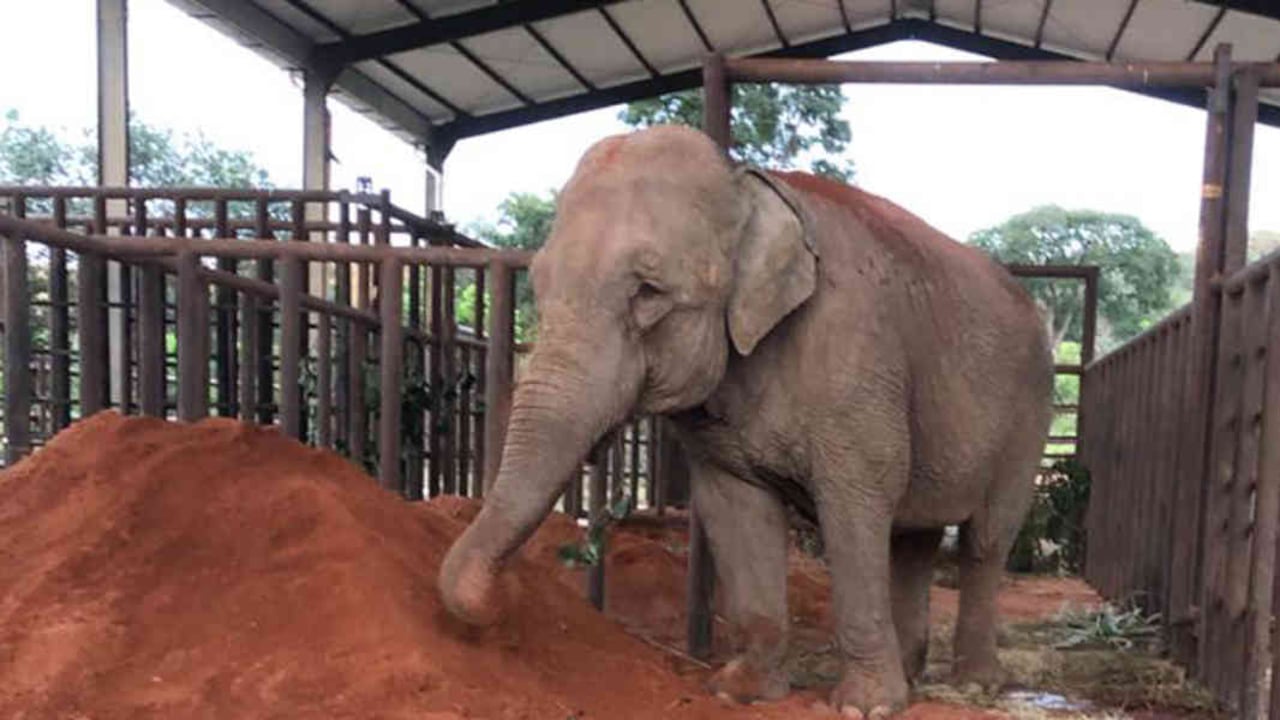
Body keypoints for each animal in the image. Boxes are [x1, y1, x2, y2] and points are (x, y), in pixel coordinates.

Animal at [438, 125, 1054, 717]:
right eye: (538, 288)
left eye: (648, 292)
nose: (508, 598)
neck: (746, 184)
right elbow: (736, 509)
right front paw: (742, 691)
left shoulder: (855, 358)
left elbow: (857, 504)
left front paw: (868, 707)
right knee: (915, 538)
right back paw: (913, 674)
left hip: (1030, 412)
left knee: (985, 540)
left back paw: (974, 684)